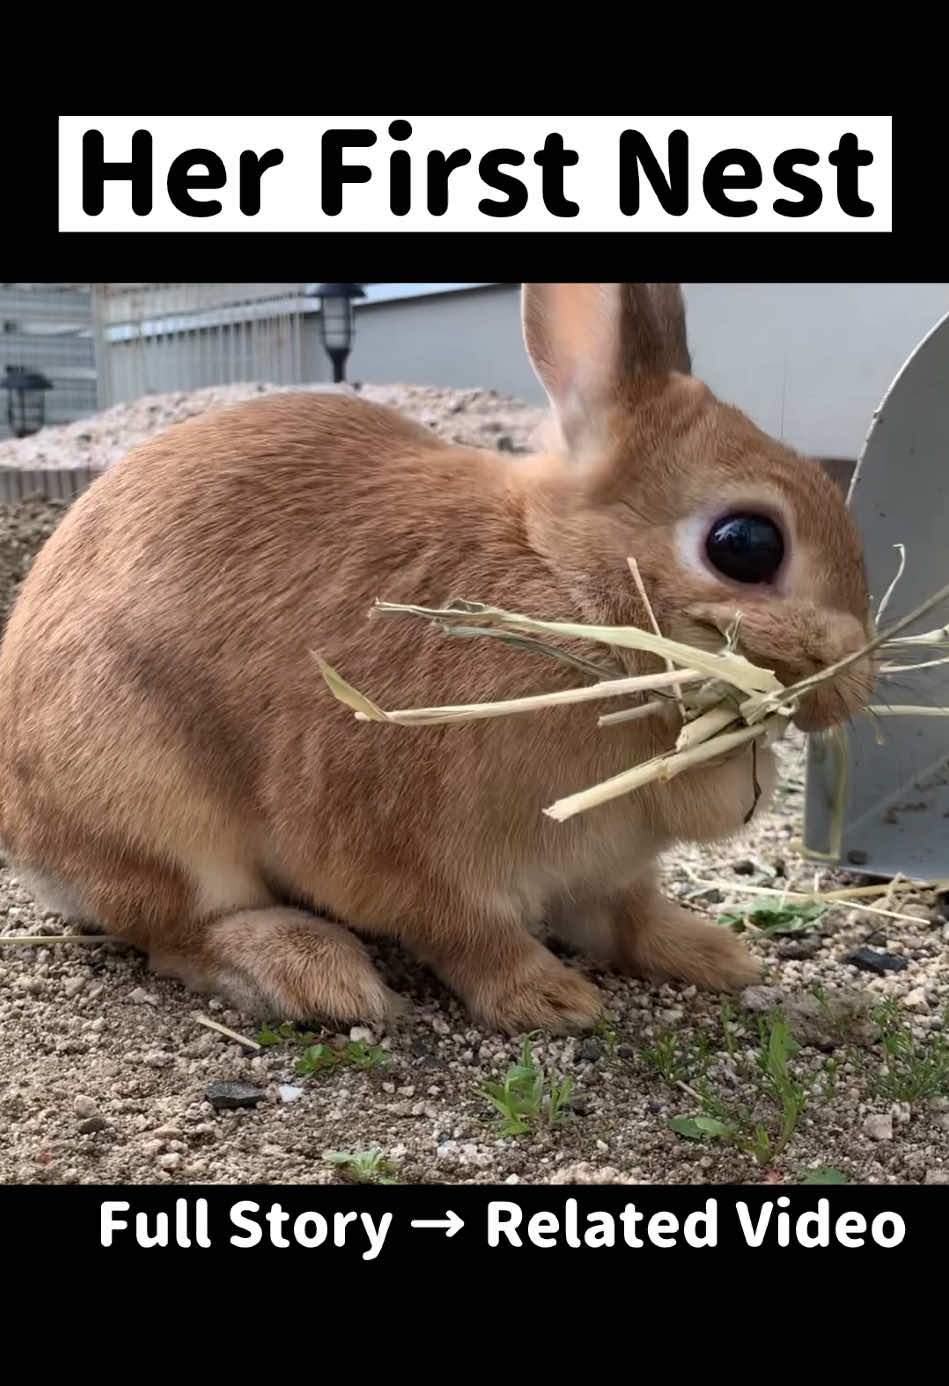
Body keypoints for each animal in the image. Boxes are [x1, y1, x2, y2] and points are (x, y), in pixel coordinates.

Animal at [0, 284, 875, 1034]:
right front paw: (549, 999)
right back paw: (314, 973)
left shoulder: (605, 870)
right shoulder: (412, 856)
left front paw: (717, 955)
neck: (561, 578)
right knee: (179, 927)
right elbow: (469, 937)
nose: (851, 688)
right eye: (745, 544)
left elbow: (631, 914)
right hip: (151, 802)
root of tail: (26, 835)